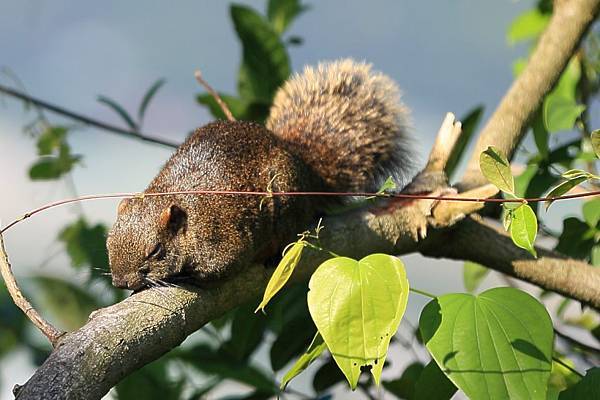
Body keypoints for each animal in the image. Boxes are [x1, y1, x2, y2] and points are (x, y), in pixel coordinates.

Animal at [106, 59, 412, 290]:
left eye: (156, 250)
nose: (121, 283)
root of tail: (304, 166)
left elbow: (217, 269)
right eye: (109, 243)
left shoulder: (222, 241)